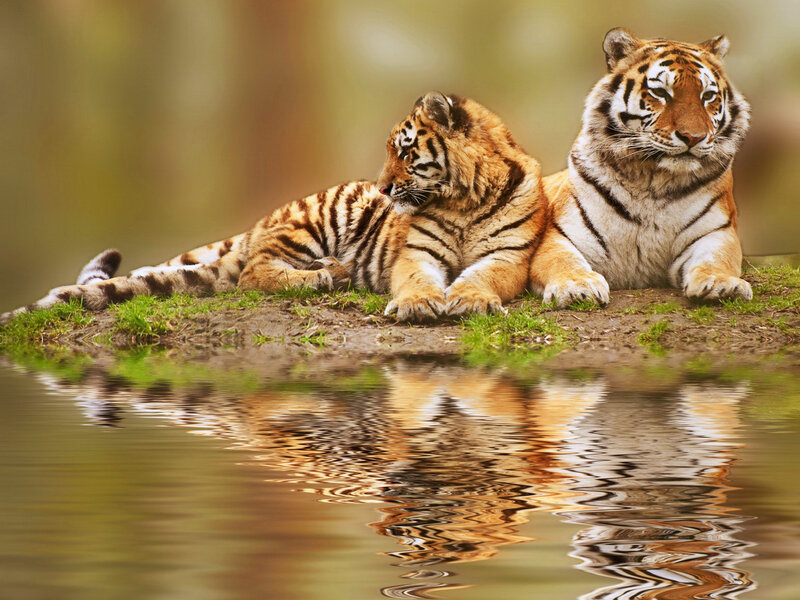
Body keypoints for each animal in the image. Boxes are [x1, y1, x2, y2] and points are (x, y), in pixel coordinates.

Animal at [1, 92, 544, 324]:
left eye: (405, 152)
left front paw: (470, 300)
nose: (384, 187)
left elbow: (482, 276)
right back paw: (327, 274)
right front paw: (416, 304)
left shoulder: (509, 256)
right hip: (319, 218)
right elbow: (415, 278)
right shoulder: (418, 253)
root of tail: (259, 222)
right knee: (252, 272)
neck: (465, 198)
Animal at [528, 28, 752, 307]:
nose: (693, 137)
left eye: (708, 96)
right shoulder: (561, 235)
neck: (652, 180)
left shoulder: (717, 232)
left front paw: (722, 284)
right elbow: (564, 261)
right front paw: (576, 286)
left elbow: (716, 260)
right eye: (661, 93)